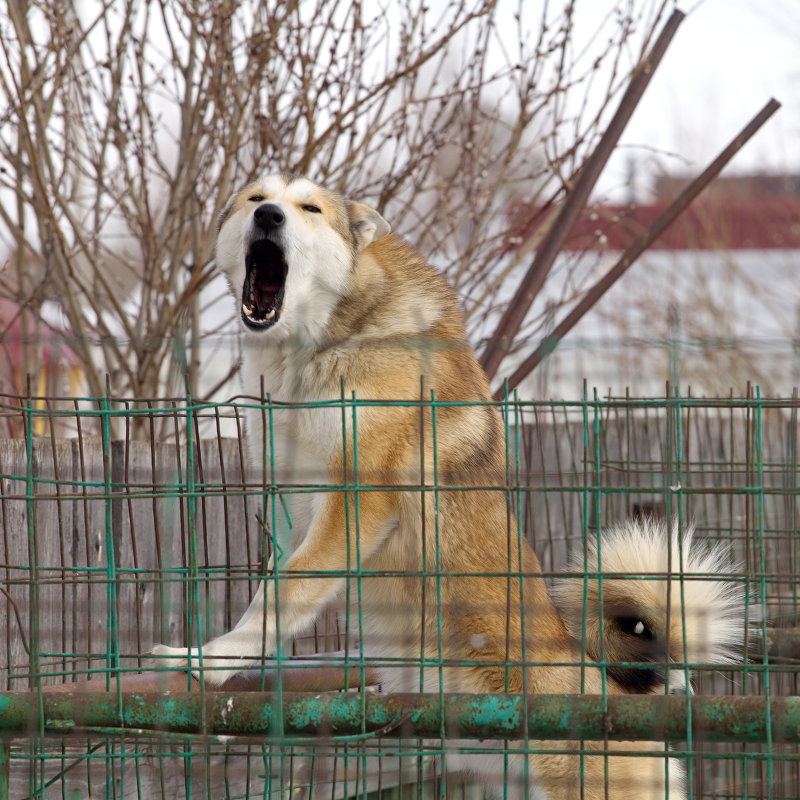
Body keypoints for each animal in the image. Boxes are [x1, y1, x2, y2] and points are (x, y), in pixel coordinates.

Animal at [153, 175, 748, 800]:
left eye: (309, 209)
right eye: (255, 198)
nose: (269, 216)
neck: (330, 340)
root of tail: (627, 695)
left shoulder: (358, 499)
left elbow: (282, 594)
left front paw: (209, 660)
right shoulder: (295, 506)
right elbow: (279, 588)